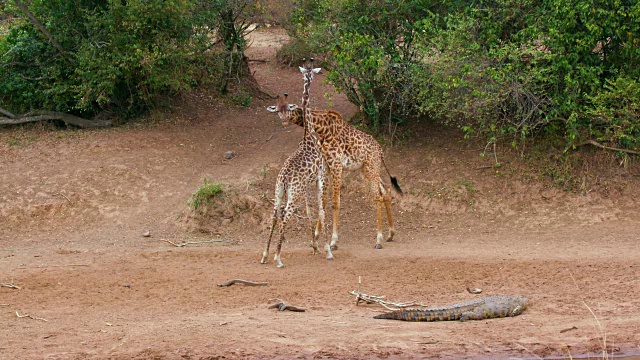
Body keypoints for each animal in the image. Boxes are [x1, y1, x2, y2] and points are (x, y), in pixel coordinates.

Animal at [262, 65, 330, 268]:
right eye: (312, 74)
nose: (312, 76)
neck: (310, 135)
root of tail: (284, 178)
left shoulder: (307, 185)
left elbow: (309, 212)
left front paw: (315, 248)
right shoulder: (321, 177)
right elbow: (321, 210)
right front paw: (327, 250)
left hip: (279, 192)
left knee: (274, 215)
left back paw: (265, 255)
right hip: (293, 193)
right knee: (285, 216)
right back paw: (278, 258)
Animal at [266, 64, 400, 250]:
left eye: (288, 108)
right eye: (278, 110)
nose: (284, 121)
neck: (321, 127)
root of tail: (380, 150)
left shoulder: (336, 165)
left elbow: (335, 202)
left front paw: (333, 241)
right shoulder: (327, 168)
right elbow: (323, 201)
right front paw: (316, 237)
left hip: (371, 167)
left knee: (378, 196)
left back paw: (378, 240)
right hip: (367, 169)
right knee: (386, 191)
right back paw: (390, 234)